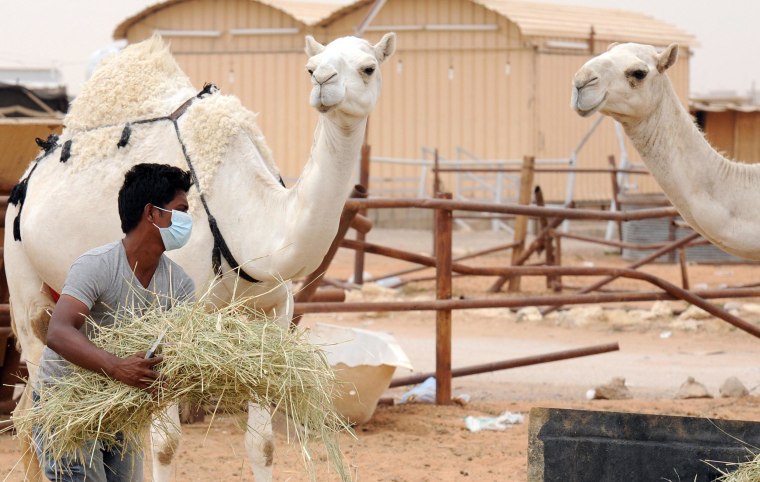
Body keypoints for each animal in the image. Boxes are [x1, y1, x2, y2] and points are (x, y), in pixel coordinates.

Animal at [5, 32, 394, 480]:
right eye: (311, 68)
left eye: (369, 67)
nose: (324, 83)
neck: (252, 221)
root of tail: (26, 177)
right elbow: (166, 444)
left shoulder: (273, 314)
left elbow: (264, 444)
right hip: (23, 282)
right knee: (39, 407)